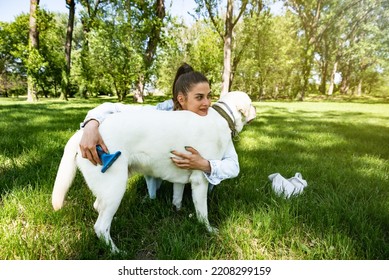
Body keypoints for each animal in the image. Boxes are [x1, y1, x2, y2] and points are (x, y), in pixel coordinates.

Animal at [52, 91, 258, 253]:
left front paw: (177, 210)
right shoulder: (200, 180)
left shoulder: (181, 176)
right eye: (250, 102)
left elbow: (177, 196)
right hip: (116, 186)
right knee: (100, 227)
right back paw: (117, 251)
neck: (222, 118)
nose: (256, 108)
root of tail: (81, 134)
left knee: (99, 208)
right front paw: (208, 229)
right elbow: (203, 213)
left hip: (108, 188)